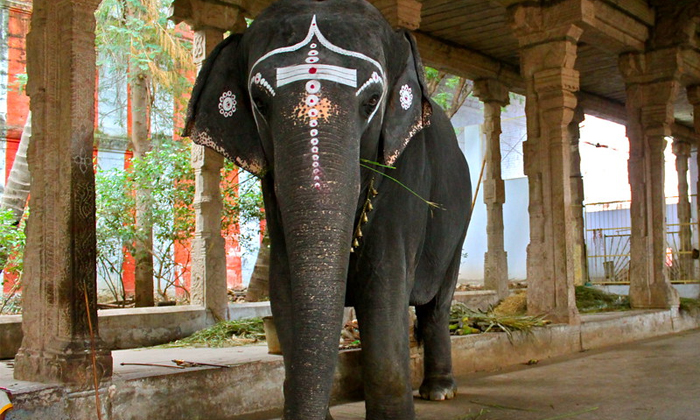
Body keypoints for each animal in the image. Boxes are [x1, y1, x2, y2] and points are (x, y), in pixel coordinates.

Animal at [183, 1, 474, 418]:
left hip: (459, 223)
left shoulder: (406, 176)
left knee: (437, 304)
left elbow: (384, 285)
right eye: (259, 101)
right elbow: (284, 289)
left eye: (372, 101)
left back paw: (439, 391)